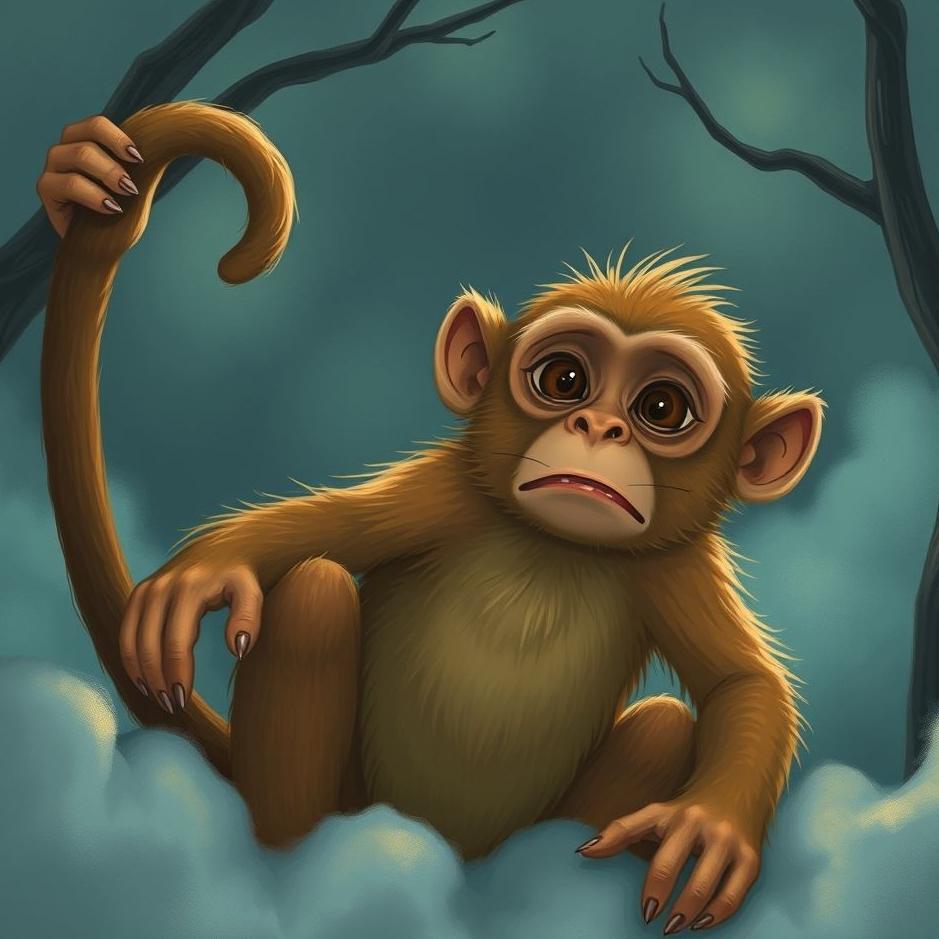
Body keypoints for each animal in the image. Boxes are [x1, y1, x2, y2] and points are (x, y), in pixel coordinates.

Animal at [40, 102, 822, 934]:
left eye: (662, 408)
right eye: (564, 379)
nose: (599, 428)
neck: (549, 546)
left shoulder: (674, 561)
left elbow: (741, 685)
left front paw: (712, 826)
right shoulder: (448, 491)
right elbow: (328, 529)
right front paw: (208, 568)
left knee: (666, 722)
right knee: (314, 592)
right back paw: (290, 861)